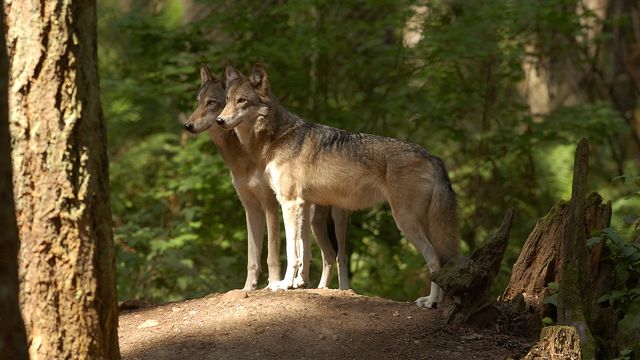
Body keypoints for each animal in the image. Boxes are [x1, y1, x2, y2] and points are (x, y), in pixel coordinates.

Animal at [182, 64, 350, 290]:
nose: (188, 125)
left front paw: (273, 283)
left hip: (334, 221)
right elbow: (252, 258)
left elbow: (272, 254)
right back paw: (309, 285)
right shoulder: (251, 208)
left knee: (340, 256)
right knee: (322, 254)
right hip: (311, 221)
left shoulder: (270, 205)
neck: (243, 156)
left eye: (212, 103)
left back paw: (341, 289)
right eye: (198, 101)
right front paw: (248, 288)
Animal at [218, 64, 458, 306]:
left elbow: (291, 251)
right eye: (227, 99)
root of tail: (433, 157)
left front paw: (283, 285)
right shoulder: (303, 205)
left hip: (404, 221)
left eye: (242, 101)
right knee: (439, 258)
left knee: (433, 257)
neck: (278, 136)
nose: (219, 120)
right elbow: (302, 251)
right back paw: (433, 301)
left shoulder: (289, 203)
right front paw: (297, 284)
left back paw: (431, 302)